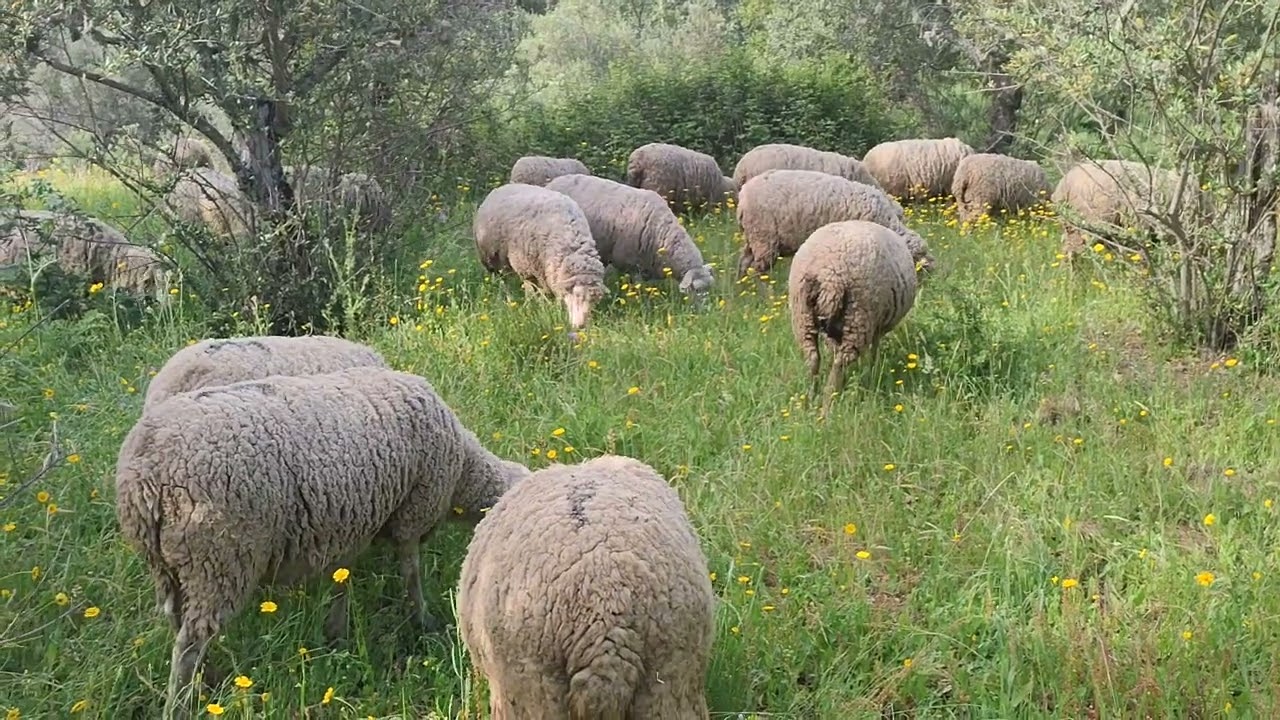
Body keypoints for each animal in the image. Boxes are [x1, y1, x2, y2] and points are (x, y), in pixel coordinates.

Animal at [115, 366, 531, 717]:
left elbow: (341, 580)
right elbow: (411, 574)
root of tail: (142, 470)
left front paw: (336, 632)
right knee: (190, 641)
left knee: (178, 623)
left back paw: (207, 680)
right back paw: (181, 703)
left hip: (170, 565)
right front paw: (423, 621)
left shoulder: (346, 523)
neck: (462, 468)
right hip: (220, 557)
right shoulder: (412, 513)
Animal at [472, 183, 608, 331]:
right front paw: (535, 306)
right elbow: (532, 289)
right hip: (493, 258)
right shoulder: (526, 265)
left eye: (595, 300)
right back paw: (509, 299)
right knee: (503, 280)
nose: (580, 327)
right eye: (576, 295)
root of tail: (503, 186)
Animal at [735, 169, 933, 280]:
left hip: (752, 238)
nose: (932, 278)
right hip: (763, 237)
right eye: (918, 258)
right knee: (758, 270)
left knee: (744, 264)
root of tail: (743, 196)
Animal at [788, 220, 918, 414]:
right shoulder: (876, 325)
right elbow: (874, 350)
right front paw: (872, 370)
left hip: (802, 316)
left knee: (812, 358)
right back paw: (828, 406)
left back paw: (810, 400)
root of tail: (828, 273)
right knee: (840, 363)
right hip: (859, 316)